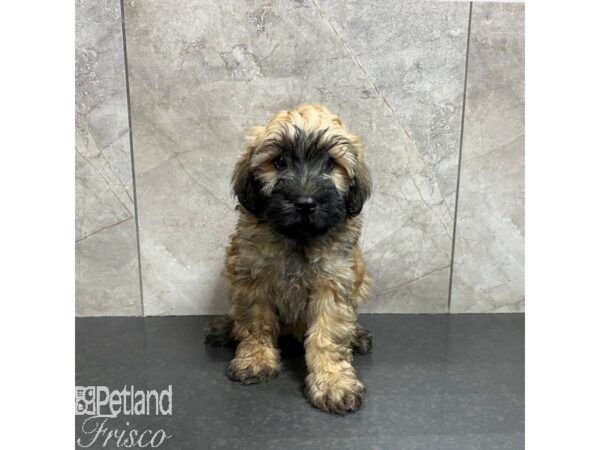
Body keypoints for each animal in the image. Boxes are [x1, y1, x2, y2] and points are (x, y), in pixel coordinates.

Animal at [206, 103, 376, 414]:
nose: (305, 203)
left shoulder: (333, 283)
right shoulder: (252, 278)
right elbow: (255, 322)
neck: (299, 238)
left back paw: (357, 335)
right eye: (280, 162)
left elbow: (329, 335)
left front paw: (332, 382)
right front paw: (255, 359)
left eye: (330, 164)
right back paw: (224, 328)